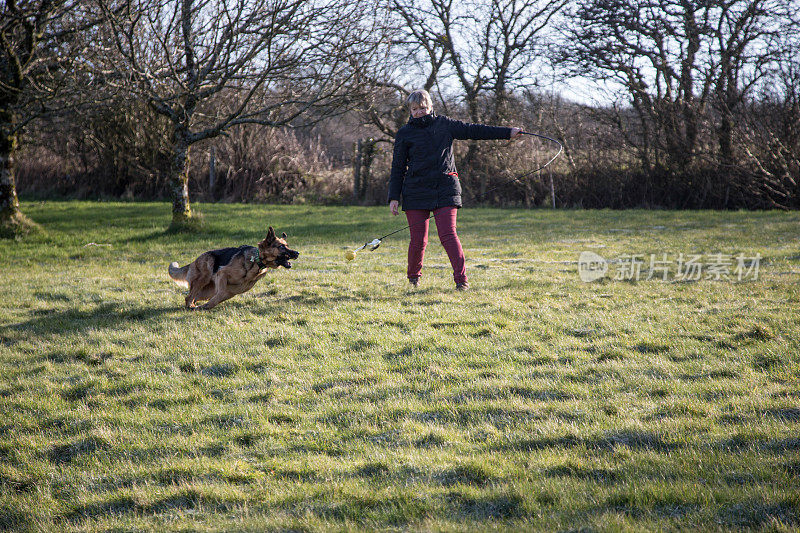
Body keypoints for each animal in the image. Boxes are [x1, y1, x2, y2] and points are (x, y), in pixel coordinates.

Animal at [167, 227, 298, 310]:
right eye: (282, 247)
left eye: (287, 246)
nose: (297, 253)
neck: (256, 261)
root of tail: (193, 262)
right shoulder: (222, 274)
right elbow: (221, 293)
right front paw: (205, 307)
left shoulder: (234, 290)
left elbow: (218, 298)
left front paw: (206, 306)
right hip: (203, 279)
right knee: (189, 297)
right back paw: (191, 307)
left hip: (207, 291)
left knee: (192, 298)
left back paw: (195, 306)